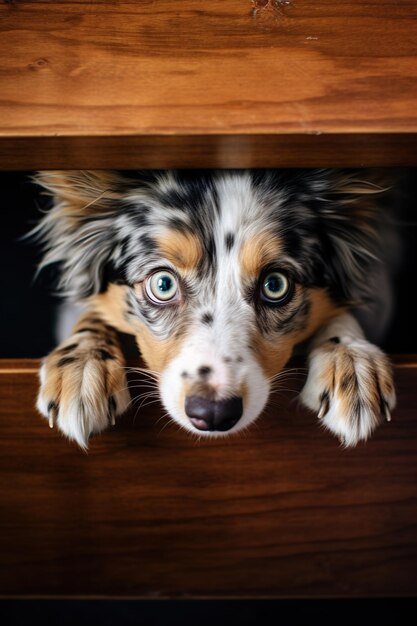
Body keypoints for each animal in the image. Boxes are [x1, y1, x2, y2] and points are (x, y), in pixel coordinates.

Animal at [34, 168, 394, 446]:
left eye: (275, 284)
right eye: (162, 284)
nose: (214, 414)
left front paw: (352, 362)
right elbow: (93, 314)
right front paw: (82, 369)